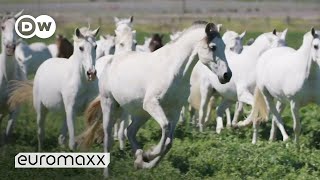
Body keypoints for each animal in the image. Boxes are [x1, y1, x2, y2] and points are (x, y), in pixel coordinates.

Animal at [79, 21, 231, 177]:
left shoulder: (175, 111)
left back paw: (139, 159)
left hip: (141, 113)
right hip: (110, 105)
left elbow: (169, 142)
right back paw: (108, 173)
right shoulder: (153, 104)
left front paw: (146, 159)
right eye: (213, 47)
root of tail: (110, 61)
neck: (174, 70)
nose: (227, 75)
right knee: (108, 138)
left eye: (224, 46)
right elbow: (165, 127)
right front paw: (150, 154)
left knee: (130, 131)